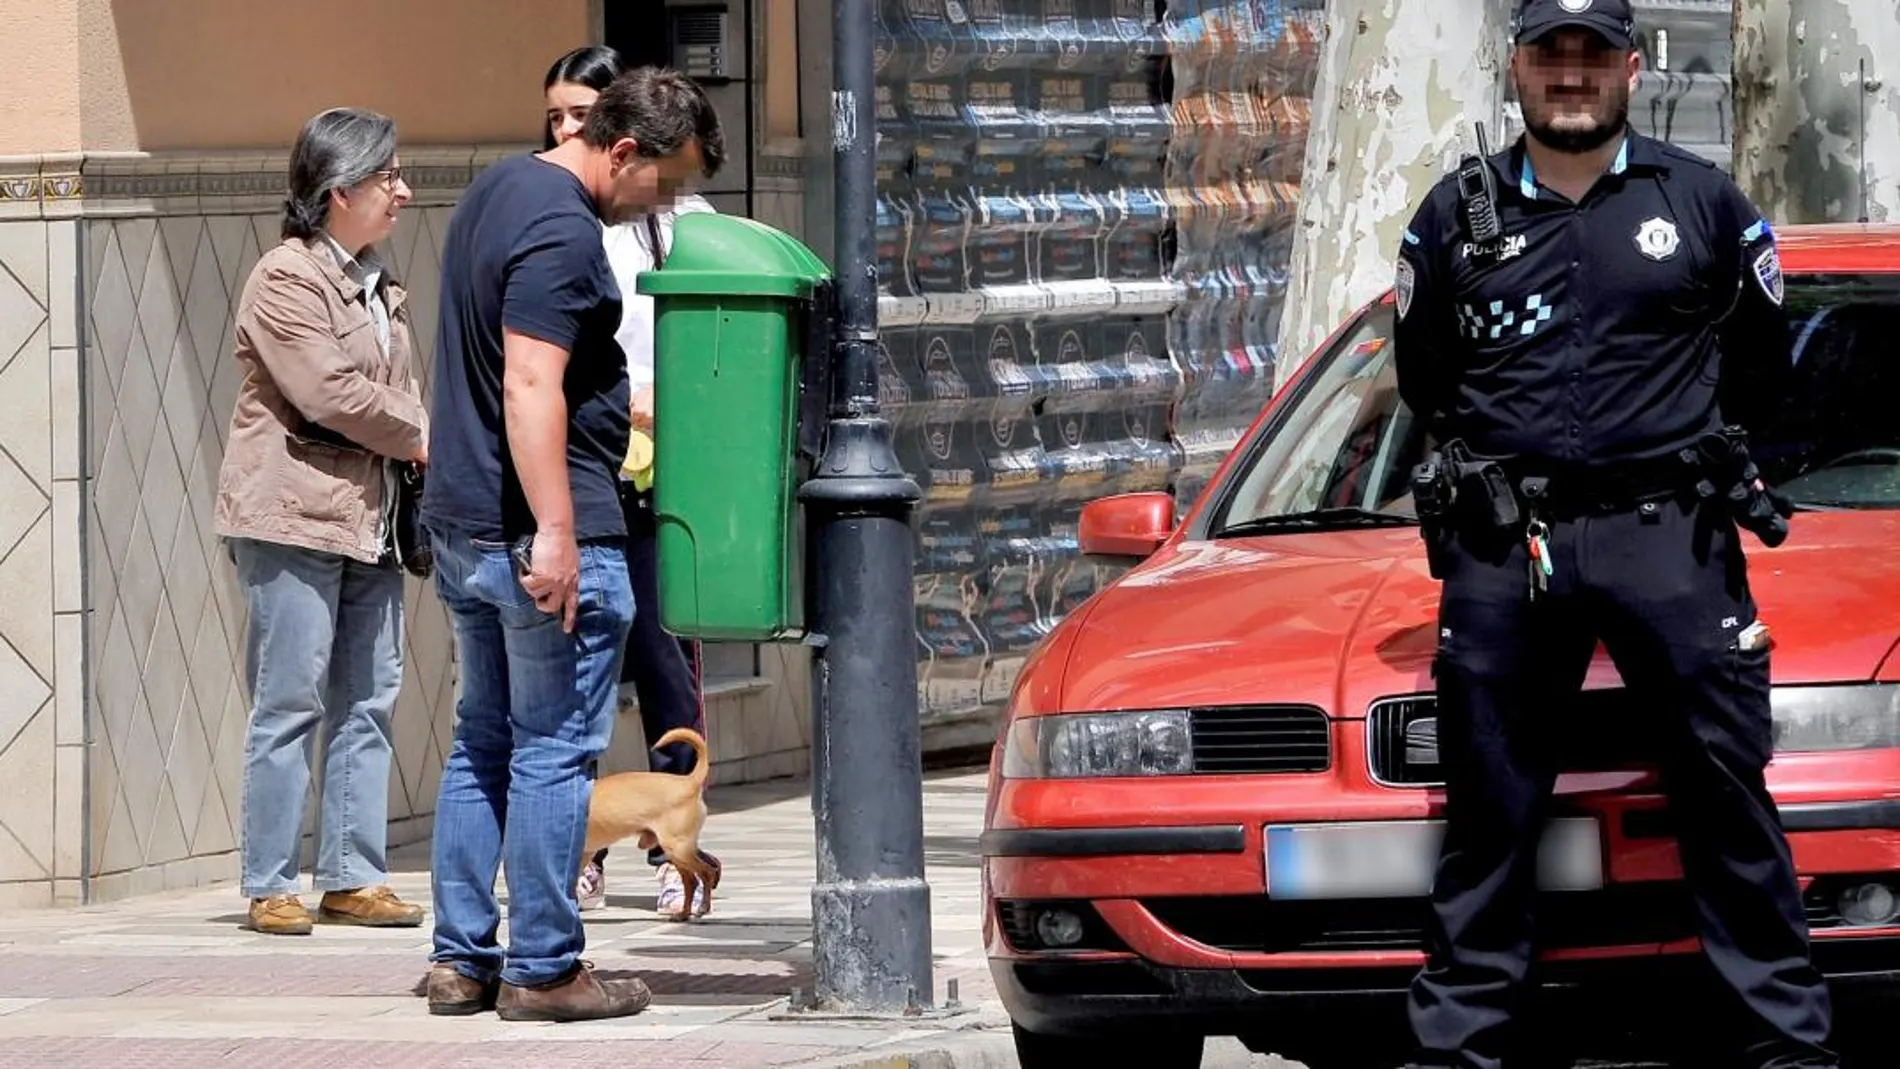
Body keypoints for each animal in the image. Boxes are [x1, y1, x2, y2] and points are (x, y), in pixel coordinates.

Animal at [581, 729, 714, 918]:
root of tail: (689, 781)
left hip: (677, 848)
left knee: (706, 873)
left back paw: (703, 907)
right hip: (675, 852)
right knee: (691, 880)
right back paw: (683, 913)